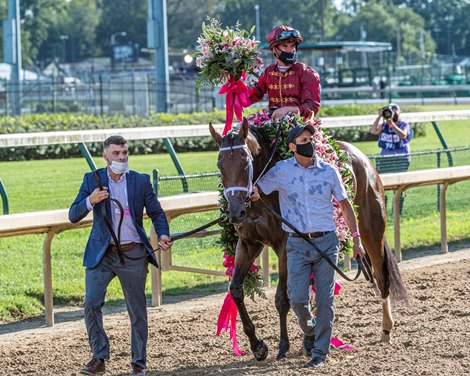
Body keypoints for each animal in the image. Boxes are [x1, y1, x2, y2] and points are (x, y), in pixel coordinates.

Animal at [209, 118, 408, 362]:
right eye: (220, 165)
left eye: (245, 162)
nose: (235, 212)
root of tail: (361, 158)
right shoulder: (248, 243)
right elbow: (236, 289)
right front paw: (258, 345)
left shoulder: (285, 245)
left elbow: (282, 298)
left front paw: (283, 346)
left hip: (371, 230)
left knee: (380, 275)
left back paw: (386, 329)